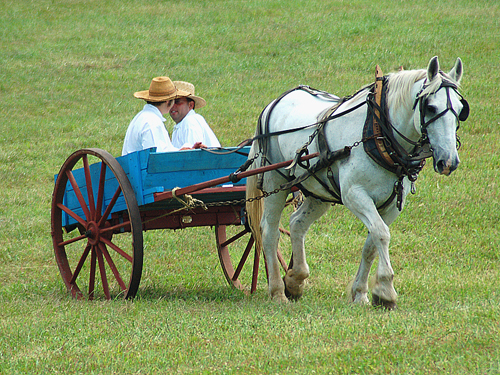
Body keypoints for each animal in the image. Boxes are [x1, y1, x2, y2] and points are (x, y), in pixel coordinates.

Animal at [246, 55, 468, 308]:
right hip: (274, 182)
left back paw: (295, 279)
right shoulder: (355, 195)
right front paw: (385, 289)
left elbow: (371, 243)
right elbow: (381, 234)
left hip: (319, 191)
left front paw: (361, 293)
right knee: (269, 231)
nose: (448, 161)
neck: (378, 132)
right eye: (430, 107)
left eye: (461, 109)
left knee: (296, 223)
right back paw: (277, 291)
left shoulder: (393, 205)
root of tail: (276, 101)